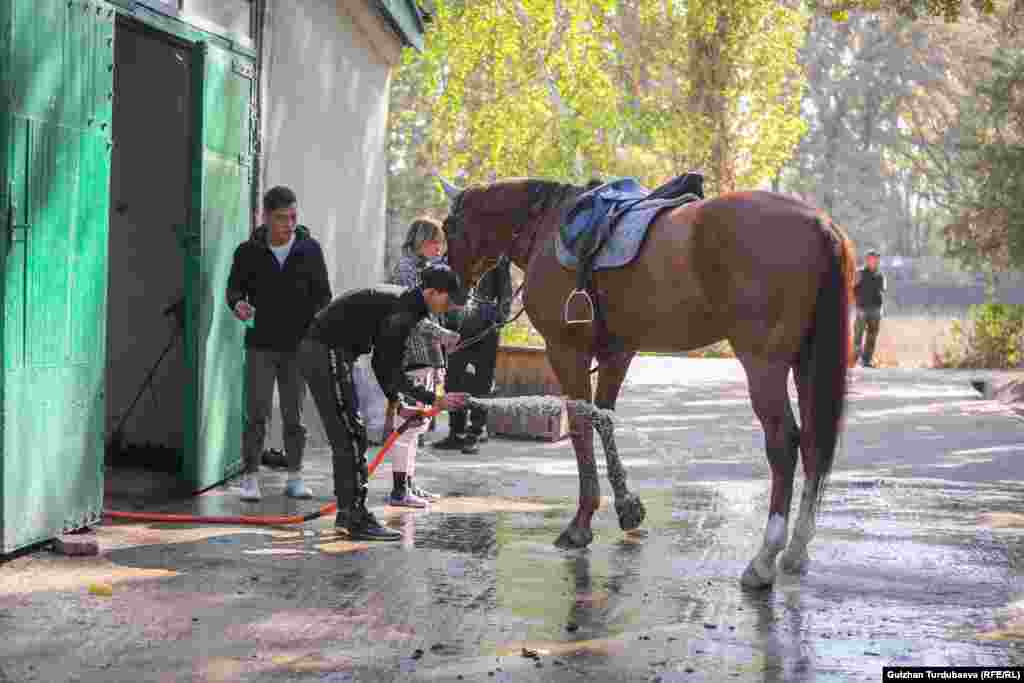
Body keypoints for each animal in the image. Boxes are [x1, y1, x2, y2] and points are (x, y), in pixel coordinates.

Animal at [442, 176, 856, 589]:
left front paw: (581, 522)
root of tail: (820, 225)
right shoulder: (618, 352)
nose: (453, 289)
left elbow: (580, 427)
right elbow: (603, 420)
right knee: (814, 444)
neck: (547, 224)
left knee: (783, 442)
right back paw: (797, 551)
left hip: (764, 364)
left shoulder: (566, 351)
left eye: (448, 227)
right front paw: (626, 506)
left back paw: (765, 558)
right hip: (806, 360)